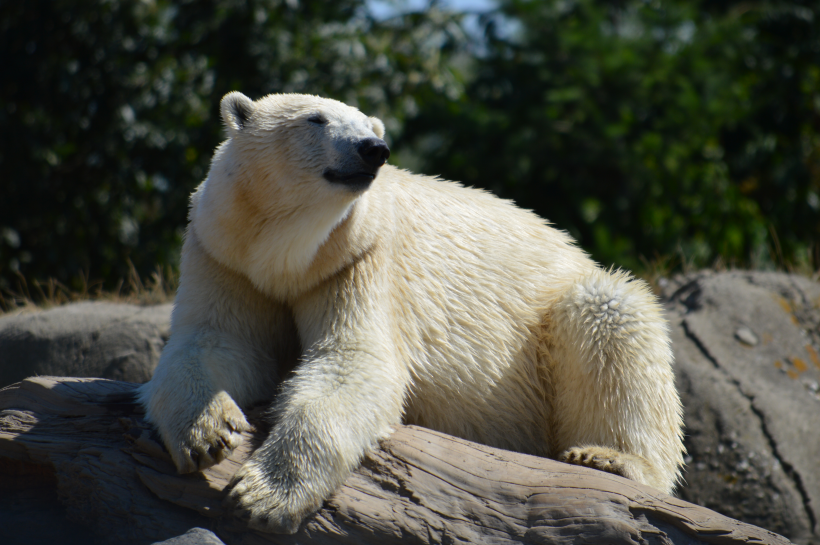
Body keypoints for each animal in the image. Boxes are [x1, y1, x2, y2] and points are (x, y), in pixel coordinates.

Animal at [139, 91, 684, 532]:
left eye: (369, 124)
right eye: (316, 118)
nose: (371, 149)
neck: (287, 253)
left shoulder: (358, 258)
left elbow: (354, 362)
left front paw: (264, 496)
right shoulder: (226, 254)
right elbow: (217, 341)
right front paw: (206, 433)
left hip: (560, 316)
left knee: (610, 315)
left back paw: (608, 458)